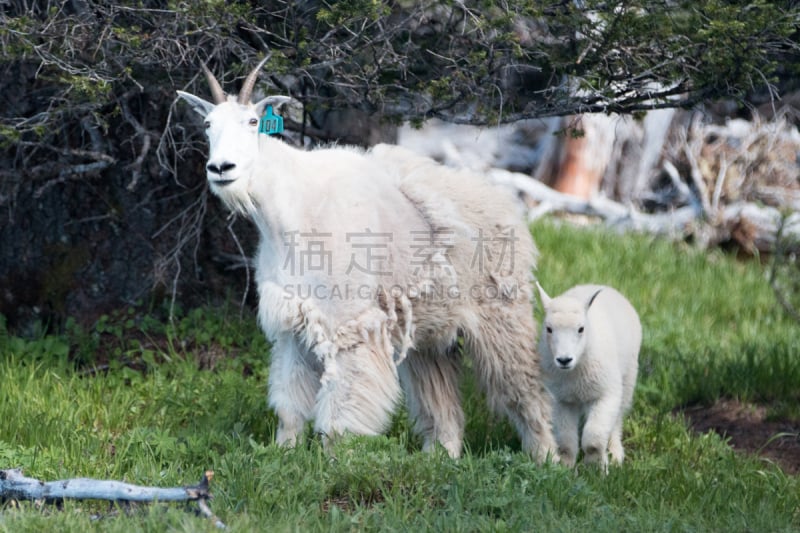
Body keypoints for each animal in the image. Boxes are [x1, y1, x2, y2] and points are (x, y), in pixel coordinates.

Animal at [178, 57, 560, 458]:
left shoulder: (350, 323)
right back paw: (442, 455)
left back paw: (546, 457)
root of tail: (509, 207)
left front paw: (334, 459)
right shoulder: (293, 323)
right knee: (439, 392)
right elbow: (289, 403)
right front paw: (284, 452)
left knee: (525, 386)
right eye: (208, 124)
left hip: (500, 313)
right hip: (430, 329)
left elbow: (340, 409)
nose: (222, 169)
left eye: (253, 122)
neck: (290, 211)